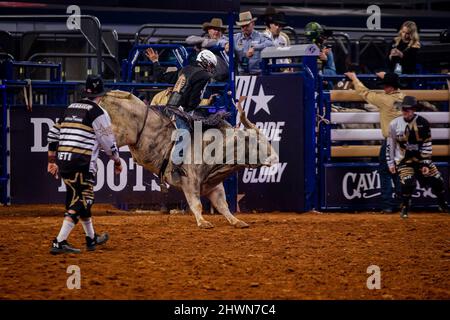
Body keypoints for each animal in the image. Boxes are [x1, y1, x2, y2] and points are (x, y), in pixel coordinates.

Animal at [100, 91, 280, 229]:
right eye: (255, 142)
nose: (275, 158)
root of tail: (109, 95)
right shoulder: (190, 181)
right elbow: (196, 204)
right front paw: (203, 222)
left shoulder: (213, 185)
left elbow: (223, 205)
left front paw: (237, 221)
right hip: (115, 134)